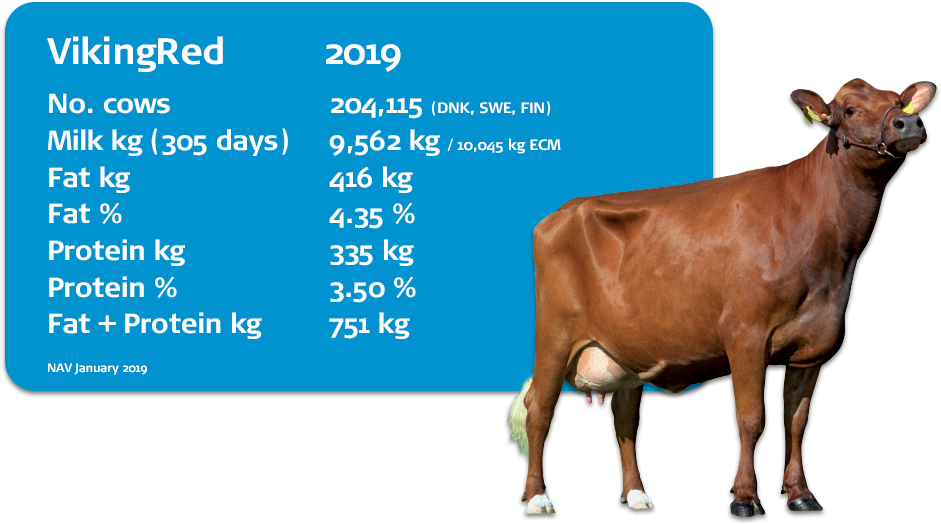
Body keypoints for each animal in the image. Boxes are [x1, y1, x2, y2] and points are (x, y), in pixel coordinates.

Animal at [506, 79, 935, 516]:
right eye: (848, 110)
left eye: (898, 102)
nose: (908, 123)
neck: (830, 255)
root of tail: (562, 211)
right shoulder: (745, 335)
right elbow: (751, 418)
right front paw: (745, 498)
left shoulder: (813, 346)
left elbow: (796, 422)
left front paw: (800, 495)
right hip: (555, 334)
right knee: (539, 409)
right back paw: (538, 497)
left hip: (625, 347)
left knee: (624, 416)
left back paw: (637, 494)